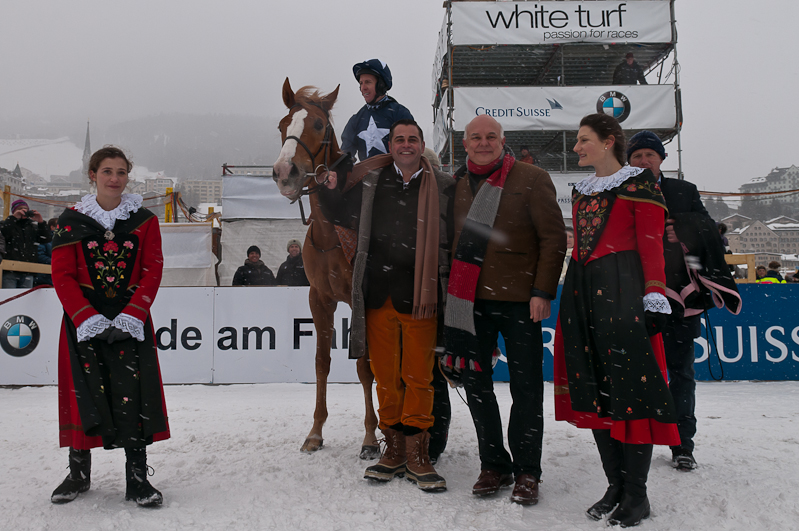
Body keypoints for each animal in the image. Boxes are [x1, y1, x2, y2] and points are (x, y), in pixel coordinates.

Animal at [272, 77, 382, 460]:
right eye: (282, 125)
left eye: (319, 125)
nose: (284, 173)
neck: (331, 230)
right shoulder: (320, 299)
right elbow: (322, 362)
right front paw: (316, 432)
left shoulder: (364, 300)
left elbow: (365, 366)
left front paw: (370, 437)